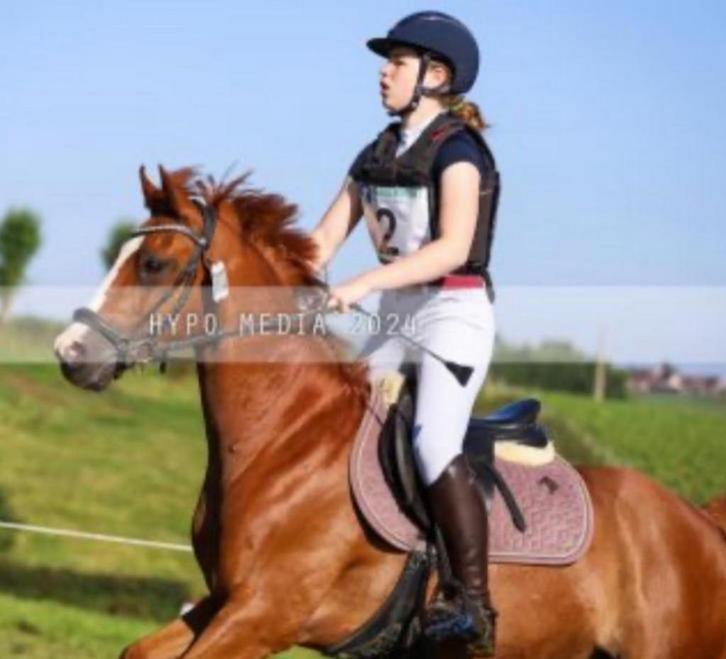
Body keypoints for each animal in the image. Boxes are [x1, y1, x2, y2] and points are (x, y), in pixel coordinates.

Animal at [54, 166, 726, 659]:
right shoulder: (223, 601)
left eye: (153, 264)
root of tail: (698, 519)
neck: (285, 440)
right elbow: (137, 652)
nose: (70, 353)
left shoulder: (263, 614)